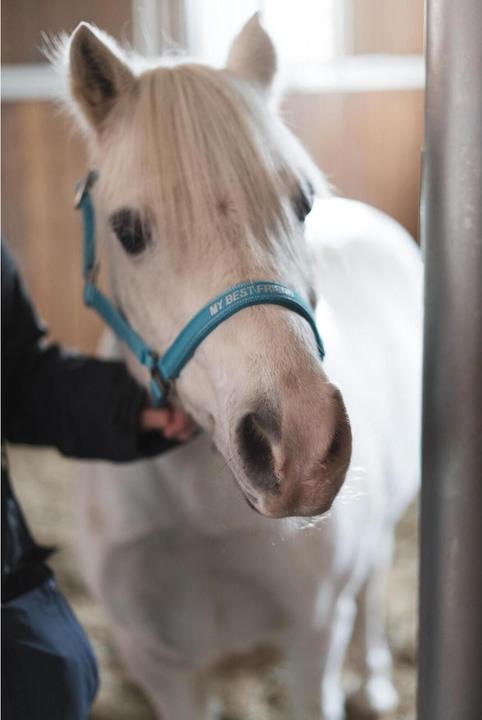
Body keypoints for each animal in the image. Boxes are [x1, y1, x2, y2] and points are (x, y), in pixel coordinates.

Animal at [60, 14, 422, 720]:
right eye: (128, 231)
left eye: (303, 204)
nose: (301, 446)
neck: (203, 514)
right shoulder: (161, 664)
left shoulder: (314, 635)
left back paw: (377, 680)